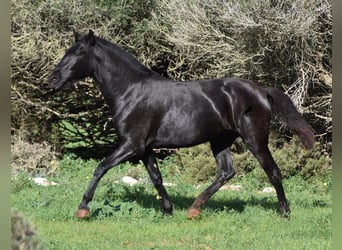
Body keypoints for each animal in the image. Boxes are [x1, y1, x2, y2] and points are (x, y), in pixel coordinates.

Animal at [48, 29, 316, 219]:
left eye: (79, 52)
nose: (54, 78)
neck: (131, 92)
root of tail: (261, 91)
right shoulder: (145, 148)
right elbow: (156, 177)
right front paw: (168, 210)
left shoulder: (131, 145)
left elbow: (100, 168)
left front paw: (83, 208)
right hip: (220, 140)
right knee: (226, 172)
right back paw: (194, 209)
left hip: (255, 139)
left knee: (273, 171)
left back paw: (284, 212)